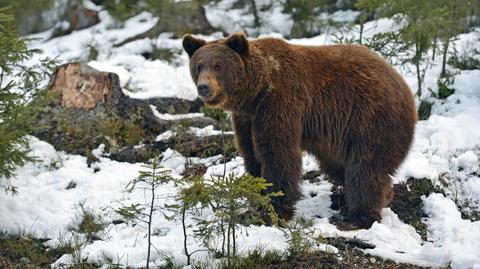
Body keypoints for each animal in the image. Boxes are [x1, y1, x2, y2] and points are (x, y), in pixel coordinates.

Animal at [183, 31, 416, 228]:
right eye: (199, 66)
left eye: (218, 65)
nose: (204, 87)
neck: (256, 92)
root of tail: (404, 85)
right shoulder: (246, 118)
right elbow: (252, 155)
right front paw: (255, 202)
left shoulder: (280, 101)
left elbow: (278, 155)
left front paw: (272, 211)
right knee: (340, 166)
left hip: (372, 118)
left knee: (366, 167)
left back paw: (358, 216)